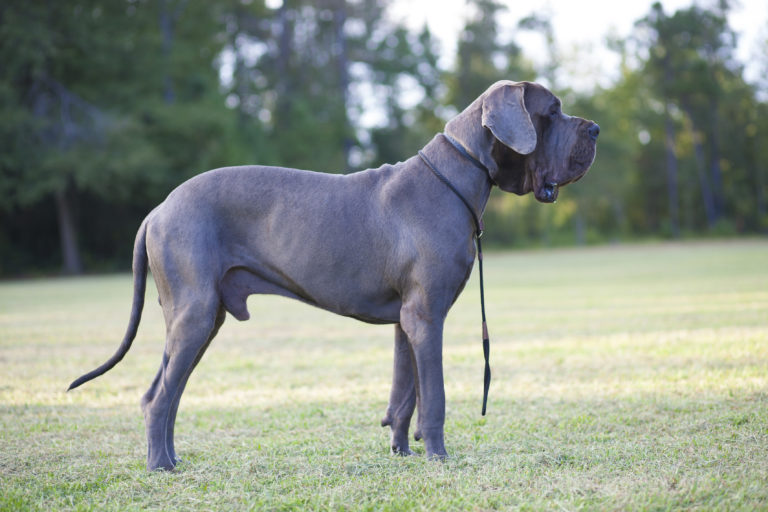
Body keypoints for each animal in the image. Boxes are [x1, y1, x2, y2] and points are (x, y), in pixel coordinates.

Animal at [70, 81, 600, 472]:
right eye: (552, 111)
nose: (595, 128)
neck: (455, 177)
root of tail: (157, 209)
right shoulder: (428, 317)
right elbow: (435, 396)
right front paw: (439, 457)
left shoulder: (407, 320)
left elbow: (405, 394)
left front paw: (403, 452)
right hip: (195, 313)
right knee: (160, 397)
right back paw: (161, 466)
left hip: (200, 317)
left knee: (162, 391)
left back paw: (171, 458)